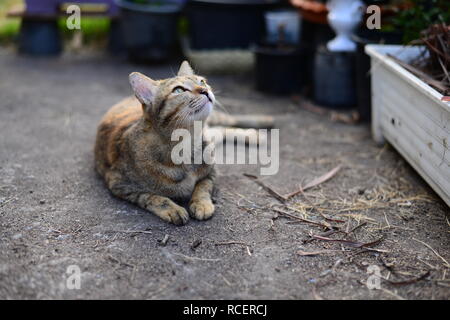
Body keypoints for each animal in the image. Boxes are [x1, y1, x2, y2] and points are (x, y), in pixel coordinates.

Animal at [94, 60, 270, 225]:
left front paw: (201, 204)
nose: (205, 90)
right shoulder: (118, 183)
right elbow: (151, 197)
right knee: (221, 130)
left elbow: (203, 186)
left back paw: (260, 127)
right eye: (178, 90)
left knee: (229, 122)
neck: (188, 143)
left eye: (202, 81)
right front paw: (173, 209)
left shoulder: (212, 172)